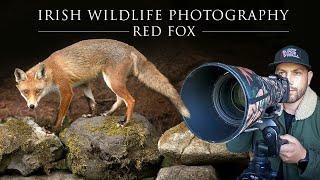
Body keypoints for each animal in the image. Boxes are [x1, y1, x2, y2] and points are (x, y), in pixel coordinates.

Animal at [13, 38, 190, 131]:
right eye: (25, 92)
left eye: (38, 91)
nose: (31, 106)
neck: (51, 72)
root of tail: (130, 47)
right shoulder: (84, 83)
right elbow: (92, 102)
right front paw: (92, 115)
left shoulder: (67, 91)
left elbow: (60, 114)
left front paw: (54, 130)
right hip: (113, 83)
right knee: (120, 100)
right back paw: (108, 114)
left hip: (112, 81)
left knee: (130, 100)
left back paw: (126, 122)